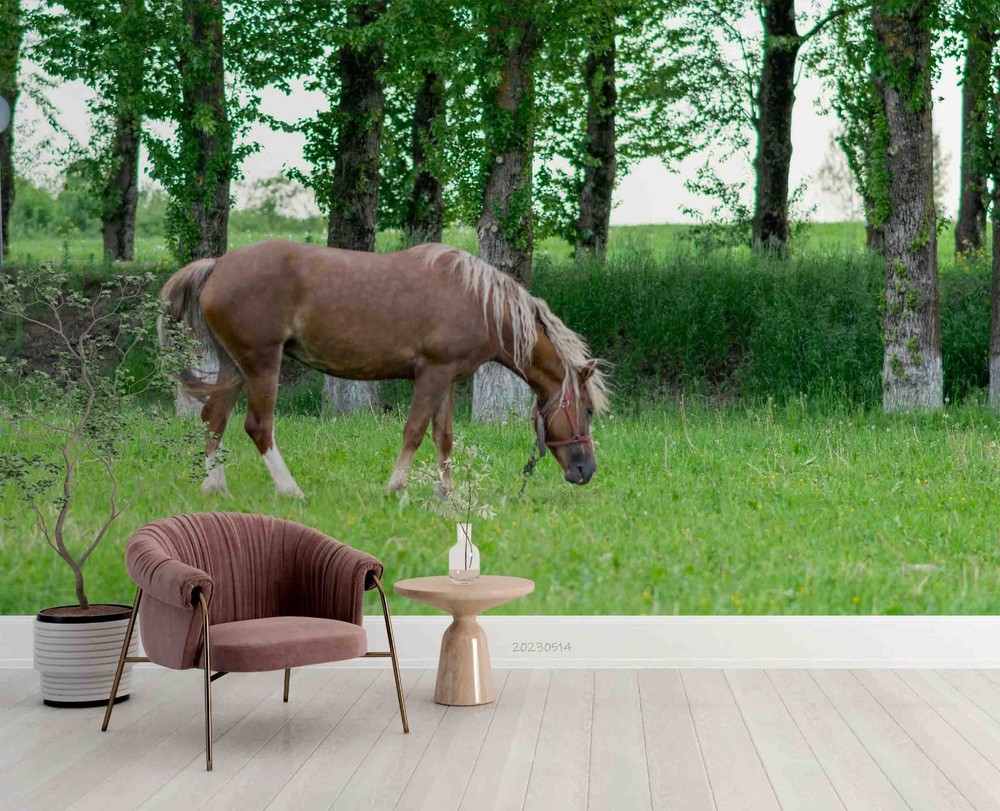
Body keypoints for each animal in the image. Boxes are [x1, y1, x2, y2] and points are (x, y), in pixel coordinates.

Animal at [159, 239, 609, 498]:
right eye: (587, 410)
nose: (586, 470)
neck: (479, 302)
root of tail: (216, 266)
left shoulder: (446, 380)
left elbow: (444, 437)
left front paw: (446, 495)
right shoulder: (431, 375)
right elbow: (414, 431)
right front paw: (397, 487)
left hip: (234, 366)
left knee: (213, 417)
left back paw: (215, 487)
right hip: (261, 363)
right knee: (258, 426)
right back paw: (291, 491)